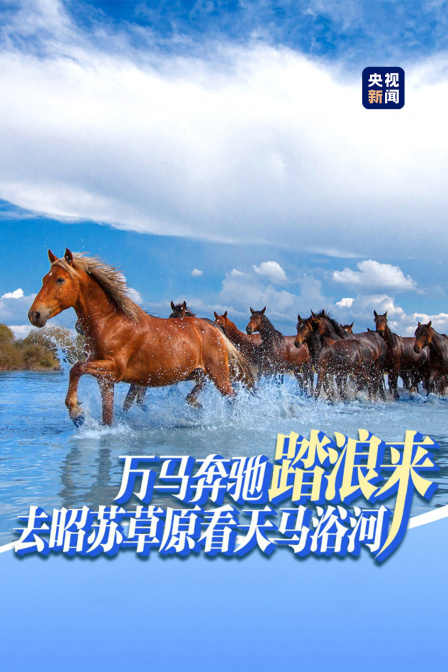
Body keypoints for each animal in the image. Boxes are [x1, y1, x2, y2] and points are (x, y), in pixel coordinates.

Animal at [28, 249, 254, 426]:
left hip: (219, 376)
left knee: (233, 399)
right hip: (197, 374)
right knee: (197, 394)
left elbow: (76, 368)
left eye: (60, 279)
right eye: (43, 279)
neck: (111, 323)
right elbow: (108, 414)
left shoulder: (114, 369)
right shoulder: (105, 379)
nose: (34, 315)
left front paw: (76, 413)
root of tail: (214, 329)